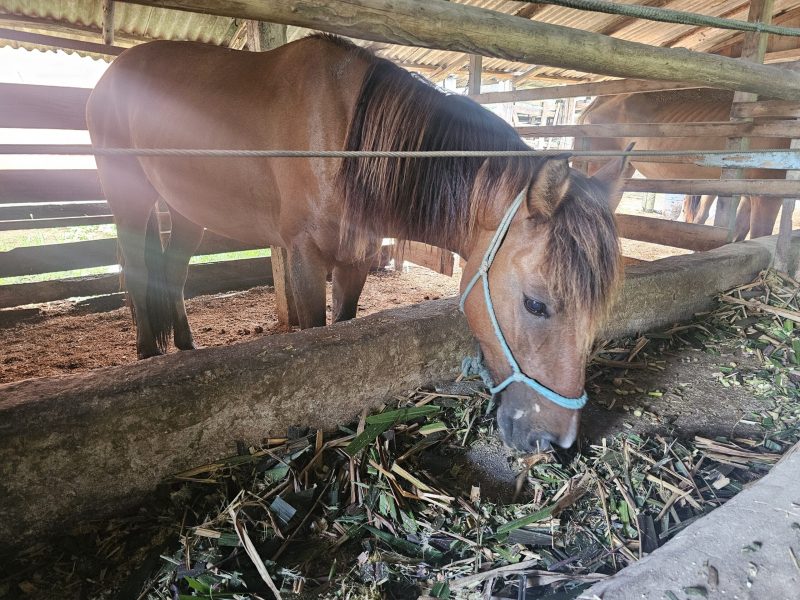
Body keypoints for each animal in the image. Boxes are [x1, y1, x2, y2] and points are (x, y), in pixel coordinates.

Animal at [86, 34, 624, 450]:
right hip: (128, 199)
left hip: (186, 209)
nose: (554, 440)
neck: (345, 144)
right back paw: (147, 356)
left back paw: (186, 347)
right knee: (139, 272)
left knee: (172, 272)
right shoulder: (303, 257)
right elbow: (312, 336)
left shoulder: (356, 261)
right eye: (536, 304)